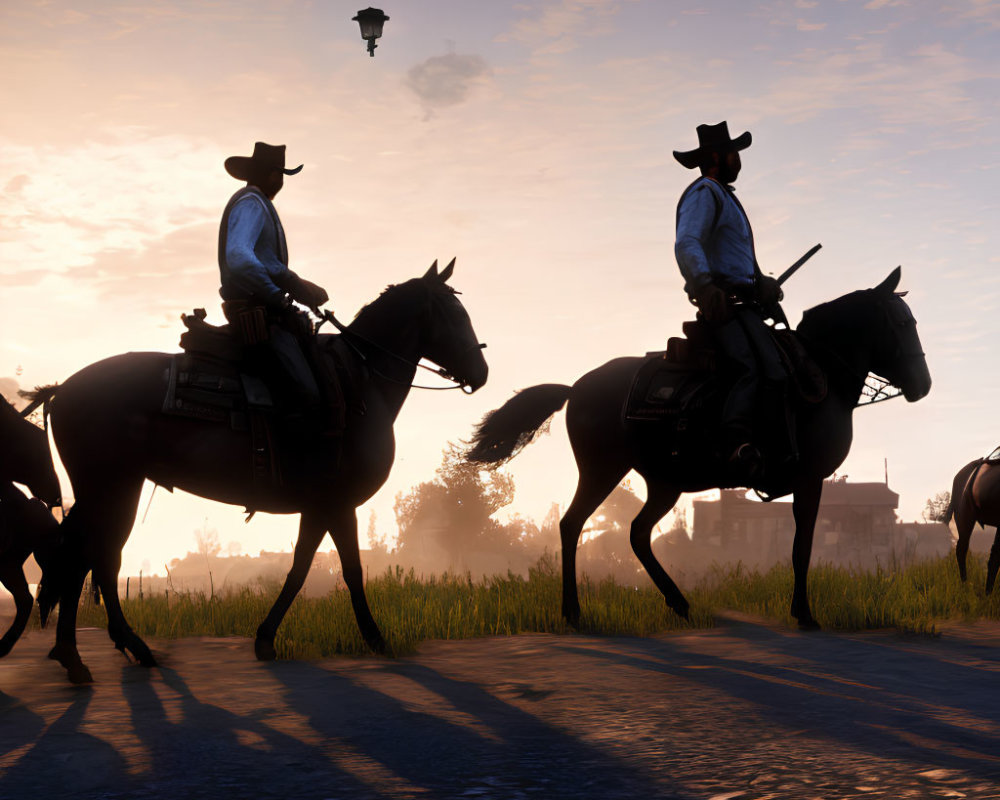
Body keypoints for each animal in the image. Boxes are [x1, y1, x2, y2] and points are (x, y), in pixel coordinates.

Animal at [38, 260, 488, 680]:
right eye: (454, 313)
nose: (481, 372)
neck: (362, 385)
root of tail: (63, 390)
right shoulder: (337, 503)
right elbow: (344, 570)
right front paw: (375, 639)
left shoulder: (322, 508)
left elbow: (305, 567)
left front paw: (268, 638)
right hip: (107, 488)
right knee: (86, 558)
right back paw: (77, 659)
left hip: (119, 488)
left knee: (101, 559)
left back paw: (120, 649)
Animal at [466, 268, 928, 632]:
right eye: (902, 322)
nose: (923, 385)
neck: (821, 376)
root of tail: (576, 386)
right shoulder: (810, 479)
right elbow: (802, 548)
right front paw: (805, 614)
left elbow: (800, 547)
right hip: (603, 469)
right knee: (572, 524)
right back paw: (574, 612)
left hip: (663, 482)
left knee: (636, 533)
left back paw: (679, 603)